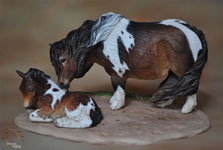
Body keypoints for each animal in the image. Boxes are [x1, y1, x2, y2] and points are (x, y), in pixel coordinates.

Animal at [50, 12, 207, 113]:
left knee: (190, 87)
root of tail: (192, 30)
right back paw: (164, 103)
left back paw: (186, 109)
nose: (62, 84)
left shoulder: (117, 72)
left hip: (184, 70)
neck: (101, 39)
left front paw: (116, 105)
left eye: (62, 59)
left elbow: (119, 88)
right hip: (175, 71)